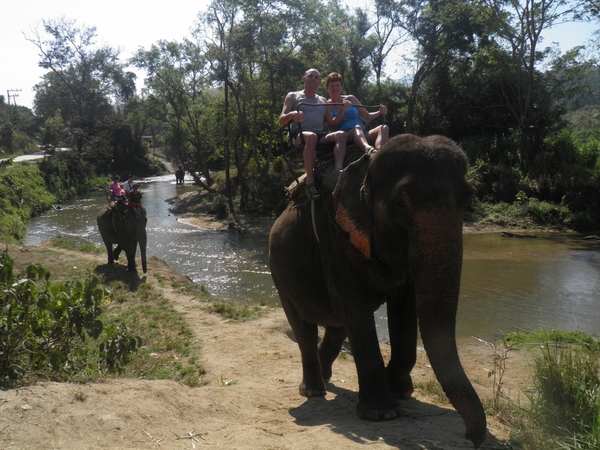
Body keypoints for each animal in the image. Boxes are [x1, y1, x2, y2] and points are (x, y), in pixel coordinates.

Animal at [270, 134, 486, 446]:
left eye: (468, 198)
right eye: (400, 203)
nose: (471, 438)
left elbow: (405, 308)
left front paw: (401, 392)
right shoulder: (335, 238)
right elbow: (354, 306)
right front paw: (382, 413)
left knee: (337, 326)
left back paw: (326, 377)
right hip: (279, 273)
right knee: (305, 328)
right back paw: (313, 390)